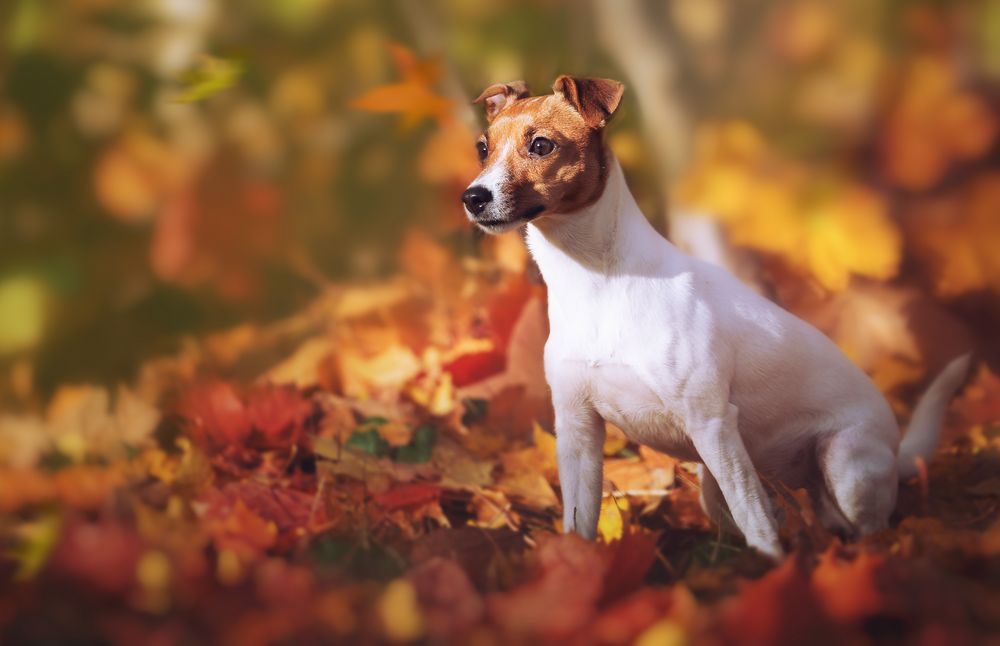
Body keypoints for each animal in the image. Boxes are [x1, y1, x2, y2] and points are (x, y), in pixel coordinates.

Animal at [464, 76, 972, 556]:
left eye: (541, 145)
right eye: (482, 148)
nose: (473, 197)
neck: (597, 281)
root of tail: (895, 447)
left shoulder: (711, 423)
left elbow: (756, 521)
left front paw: (776, 570)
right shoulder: (577, 430)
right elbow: (578, 522)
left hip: (845, 462)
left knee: (858, 525)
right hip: (719, 485)